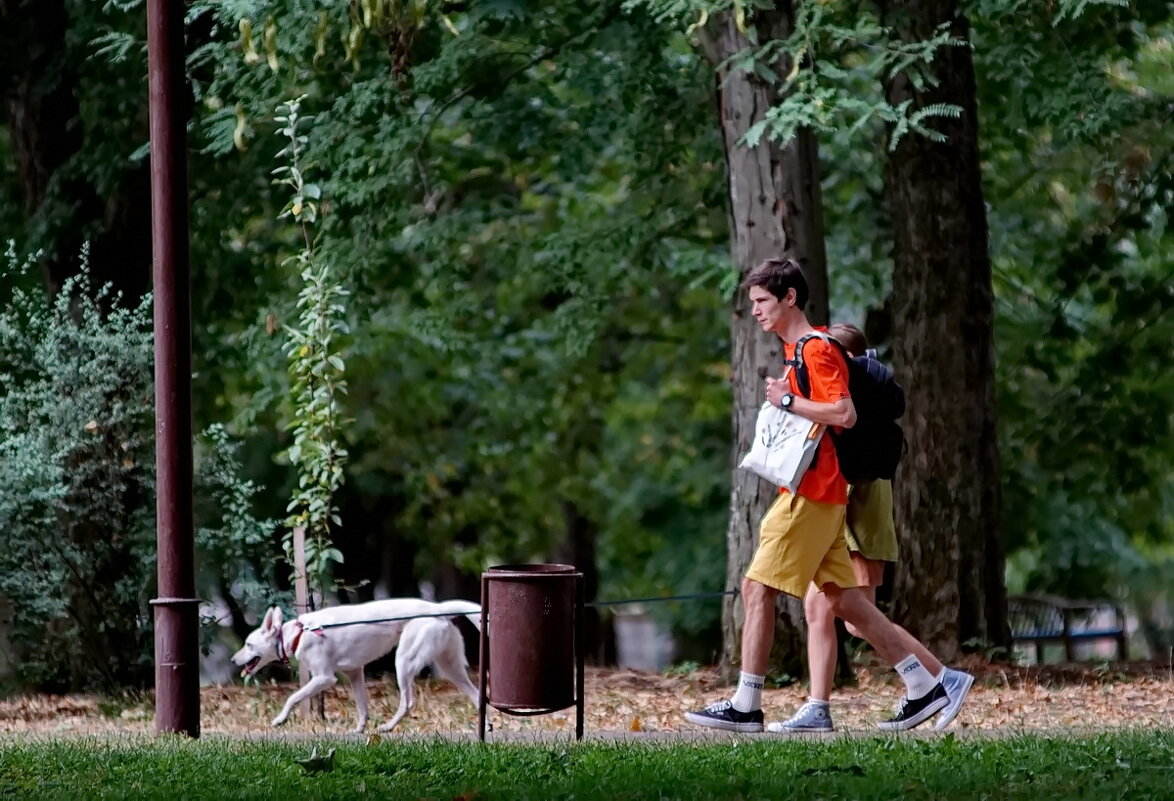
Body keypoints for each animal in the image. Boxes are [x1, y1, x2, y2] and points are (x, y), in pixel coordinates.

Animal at [231, 591, 478, 728]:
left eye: (248, 644)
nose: (233, 661)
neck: (299, 634)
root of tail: (436, 608)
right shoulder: (355, 673)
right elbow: (362, 707)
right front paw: (359, 730)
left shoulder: (324, 678)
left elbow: (293, 697)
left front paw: (279, 719)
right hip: (451, 668)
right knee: (477, 695)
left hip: (404, 661)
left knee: (407, 702)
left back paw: (388, 727)